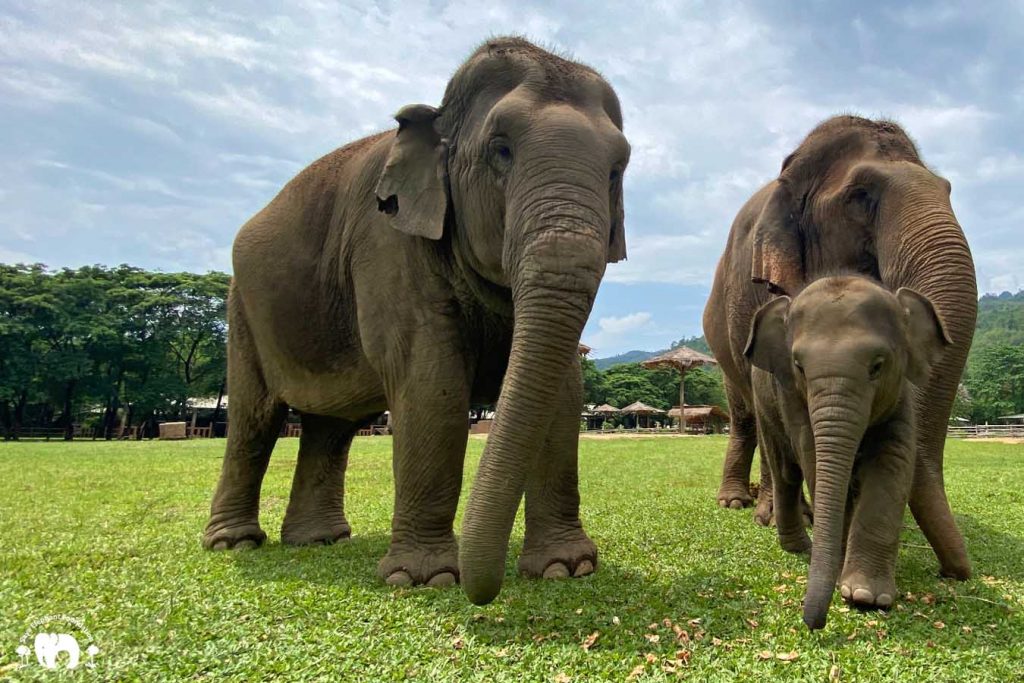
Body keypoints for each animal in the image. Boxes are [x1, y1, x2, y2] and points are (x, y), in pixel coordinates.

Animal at [202, 36, 626, 610]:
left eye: (617, 169)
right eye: (500, 150)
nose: (485, 592)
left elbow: (563, 391)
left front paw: (565, 569)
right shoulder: (387, 242)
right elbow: (431, 382)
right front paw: (424, 579)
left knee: (330, 427)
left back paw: (318, 540)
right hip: (243, 307)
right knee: (255, 418)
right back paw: (233, 544)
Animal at [704, 113, 974, 581]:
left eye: (948, 189)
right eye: (859, 196)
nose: (954, 572)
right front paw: (780, 519)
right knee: (746, 413)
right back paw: (739, 503)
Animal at [745, 274, 950, 626]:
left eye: (877, 366)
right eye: (799, 366)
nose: (813, 622)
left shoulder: (900, 394)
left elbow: (892, 459)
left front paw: (866, 596)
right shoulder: (789, 395)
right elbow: (812, 455)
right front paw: (845, 580)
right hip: (764, 404)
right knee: (785, 470)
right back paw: (799, 548)